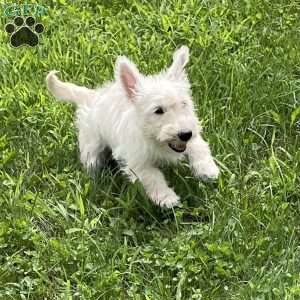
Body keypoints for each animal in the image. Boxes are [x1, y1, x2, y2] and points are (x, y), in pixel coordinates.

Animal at [45, 45, 219, 207]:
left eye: (184, 104)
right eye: (158, 110)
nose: (185, 134)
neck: (154, 139)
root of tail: (92, 96)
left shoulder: (193, 135)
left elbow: (199, 147)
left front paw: (207, 170)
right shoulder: (138, 163)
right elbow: (153, 177)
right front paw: (166, 198)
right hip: (92, 143)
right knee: (91, 159)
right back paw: (95, 179)